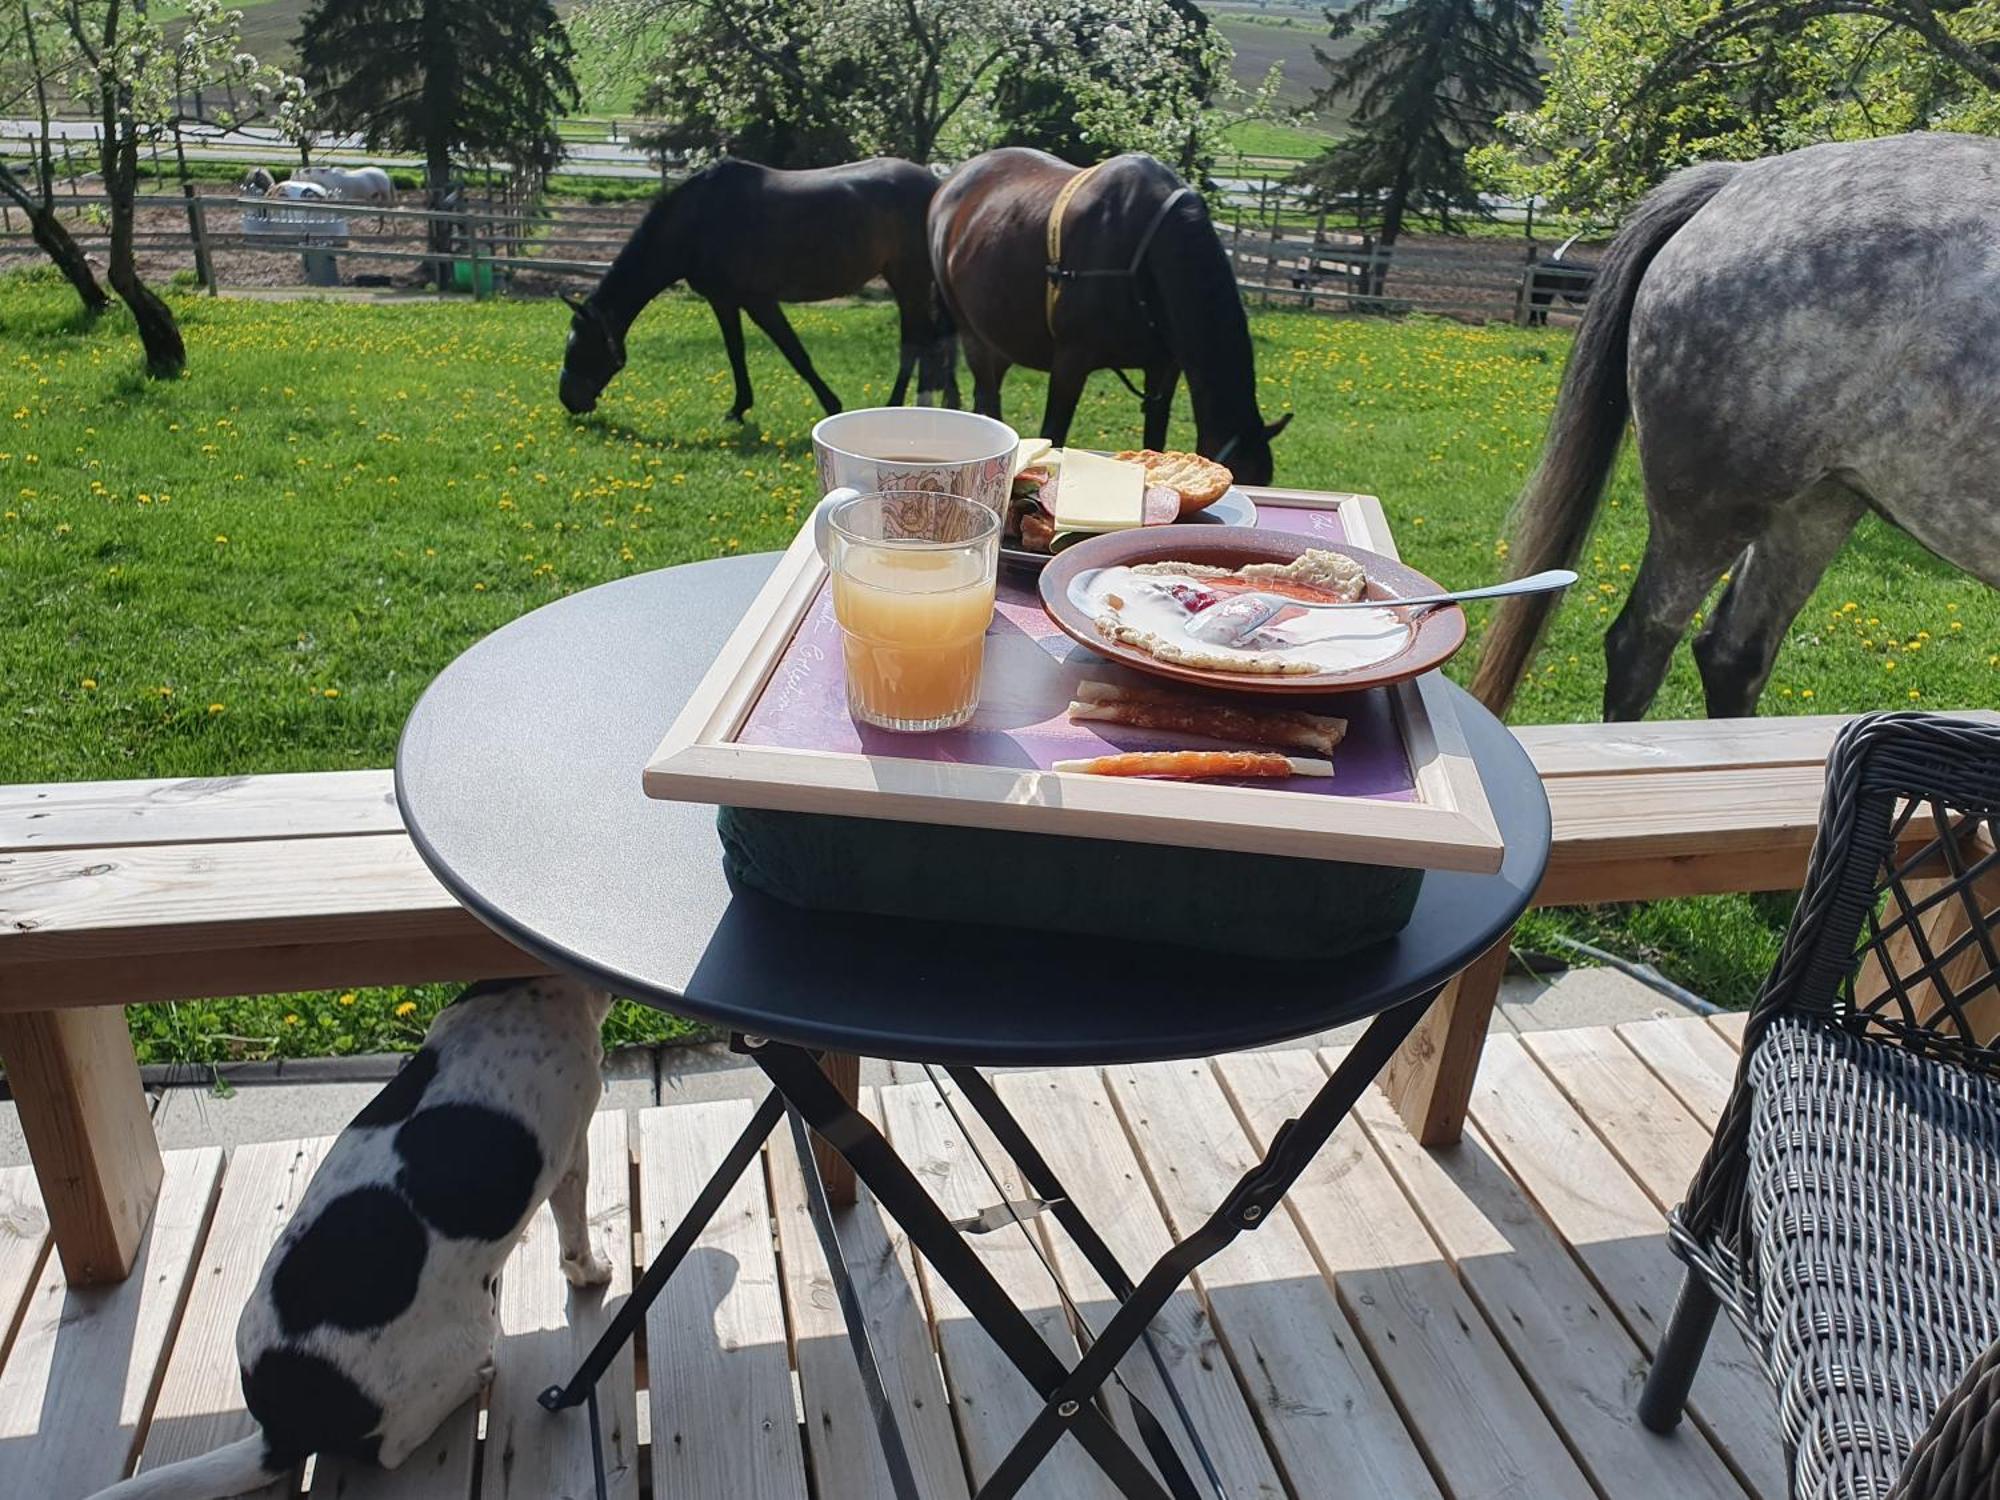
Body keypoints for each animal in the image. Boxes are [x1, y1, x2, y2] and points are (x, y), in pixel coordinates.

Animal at [88, 980, 616, 1496]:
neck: (527, 989)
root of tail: (285, 1427)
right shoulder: (572, 1153)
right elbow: (575, 1239)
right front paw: (592, 1275)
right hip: (467, 1336)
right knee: (392, 1449)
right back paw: (473, 1381)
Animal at [924, 150, 1288, 484]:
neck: (1143, 251)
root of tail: (952, 181)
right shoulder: (1070, 363)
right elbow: (1054, 431)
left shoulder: (1163, 370)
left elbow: (1155, 439)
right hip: (972, 332)